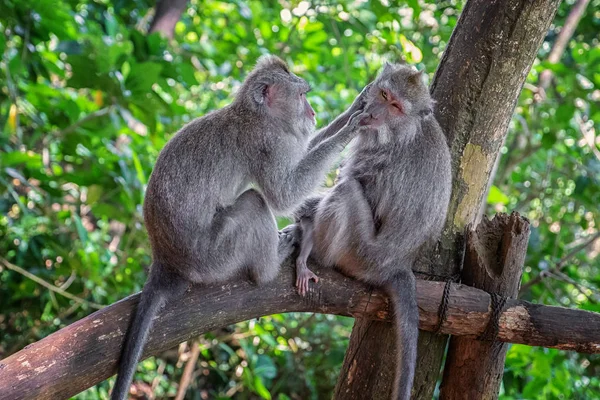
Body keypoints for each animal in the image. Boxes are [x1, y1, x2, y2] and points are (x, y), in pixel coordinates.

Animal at [109, 55, 368, 400]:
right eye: (302, 95)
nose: (312, 112)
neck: (255, 114)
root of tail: (165, 262)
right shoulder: (267, 142)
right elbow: (283, 194)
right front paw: (350, 129)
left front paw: (350, 111)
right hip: (214, 255)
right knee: (255, 203)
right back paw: (270, 266)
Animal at [292, 64, 452, 398]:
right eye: (384, 94)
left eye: (396, 107)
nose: (375, 112)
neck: (403, 130)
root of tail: (397, 265)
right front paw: (356, 104)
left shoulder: (381, 156)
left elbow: (355, 182)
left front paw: (303, 213)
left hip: (358, 254)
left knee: (348, 190)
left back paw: (311, 249)